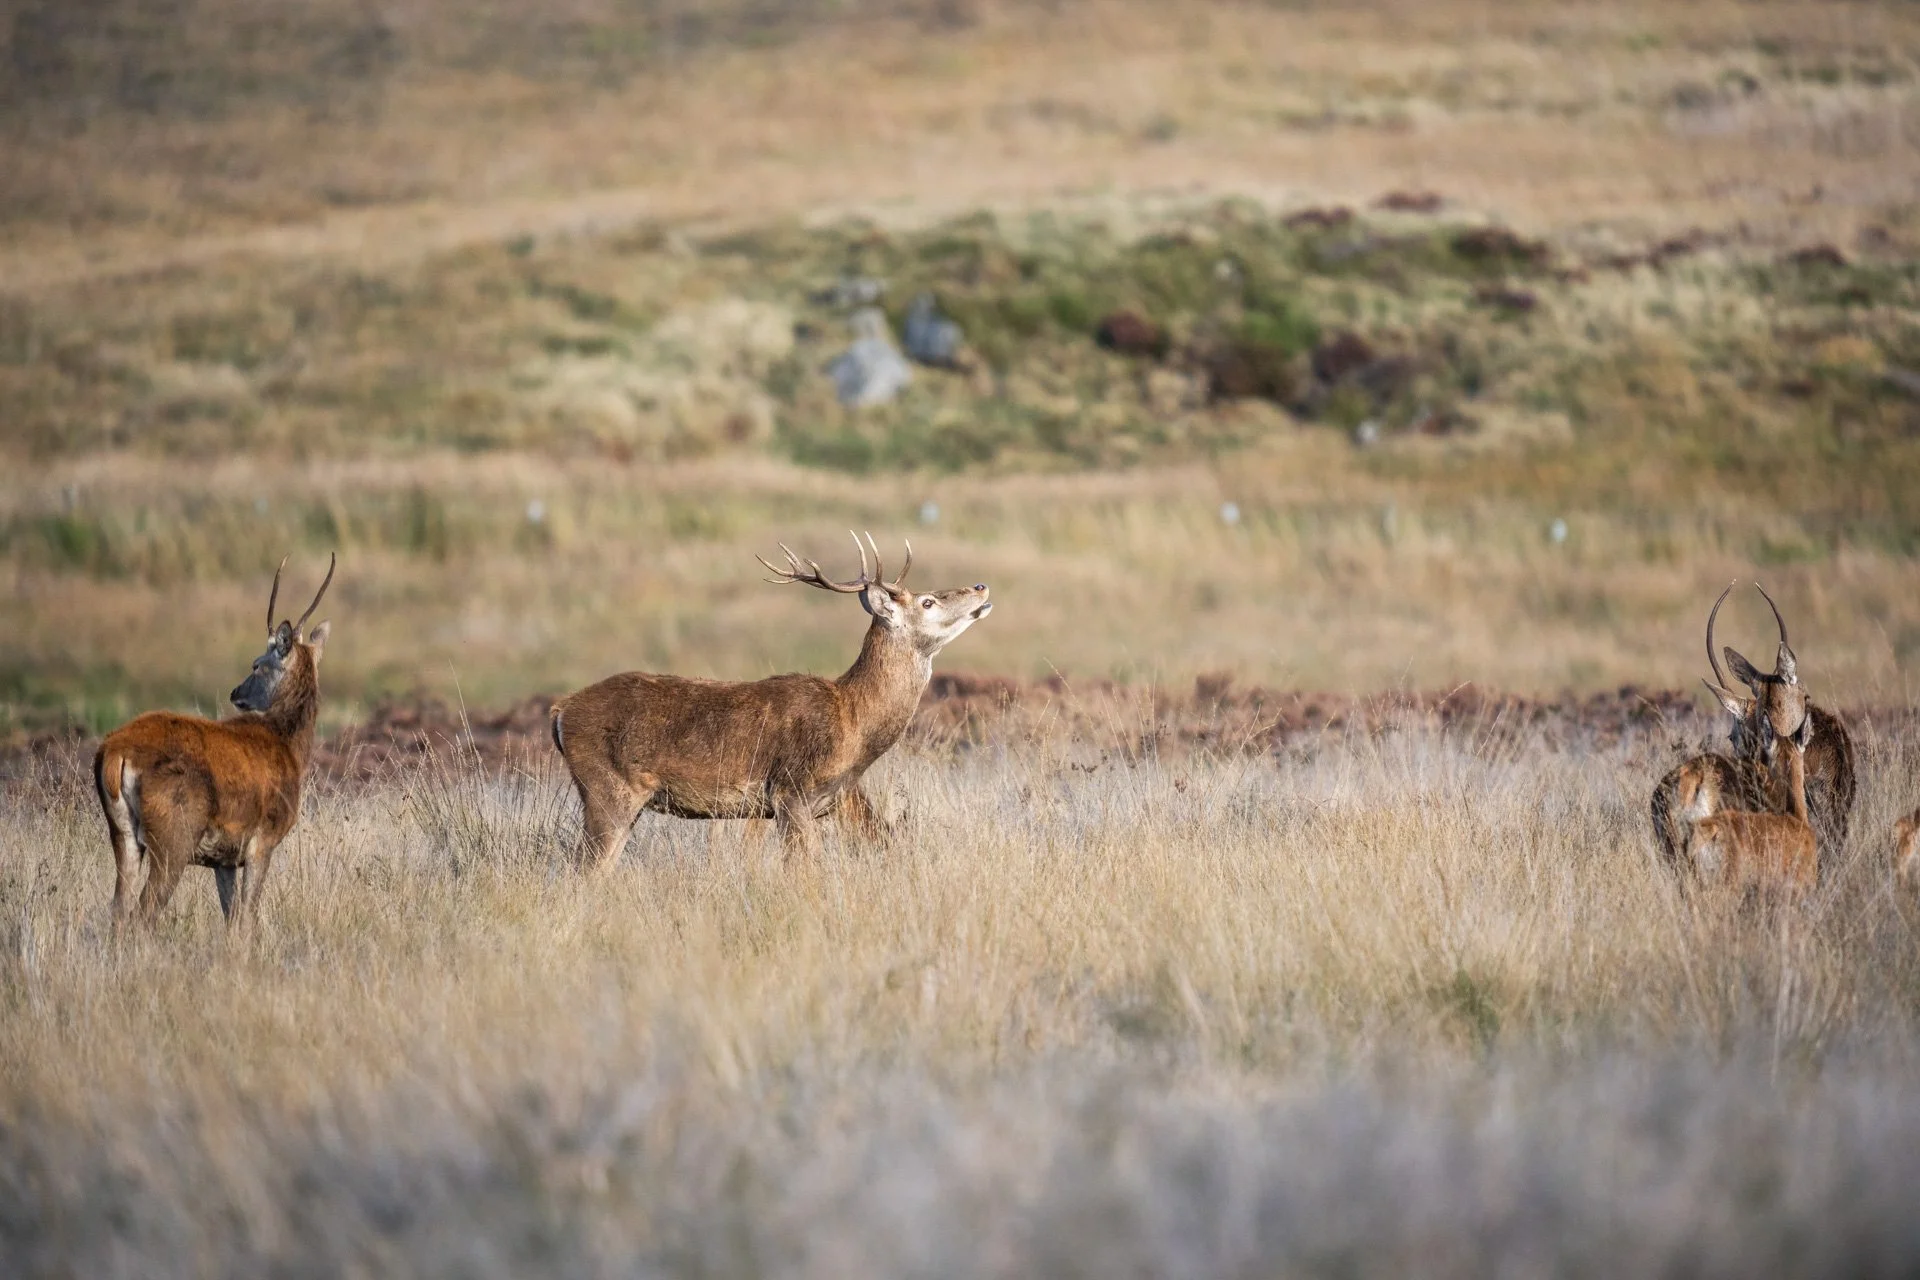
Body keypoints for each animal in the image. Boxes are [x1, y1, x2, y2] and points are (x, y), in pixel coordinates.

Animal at [93, 554, 334, 928]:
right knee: (143, 914)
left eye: (256, 665)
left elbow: (231, 918)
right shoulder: (262, 841)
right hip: (173, 836)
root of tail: (114, 753)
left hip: (122, 833)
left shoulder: (224, 858)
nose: (236, 693)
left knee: (118, 910)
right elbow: (247, 919)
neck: (288, 746)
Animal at [549, 534, 991, 867]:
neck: (853, 724)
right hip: (607, 788)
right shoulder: (791, 790)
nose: (980, 586)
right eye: (927, 602)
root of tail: (561, 711)